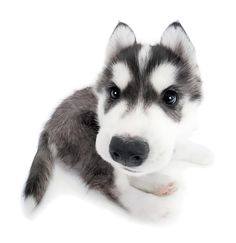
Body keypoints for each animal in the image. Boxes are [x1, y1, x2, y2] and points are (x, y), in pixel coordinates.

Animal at [24, 21, 212, 219]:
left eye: (170, 97)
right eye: (114, 92)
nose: (127, 149)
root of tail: (48, 125)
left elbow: (176, 146)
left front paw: (201, 152)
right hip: (86, 138)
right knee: (111, 183)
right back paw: (152, 206)